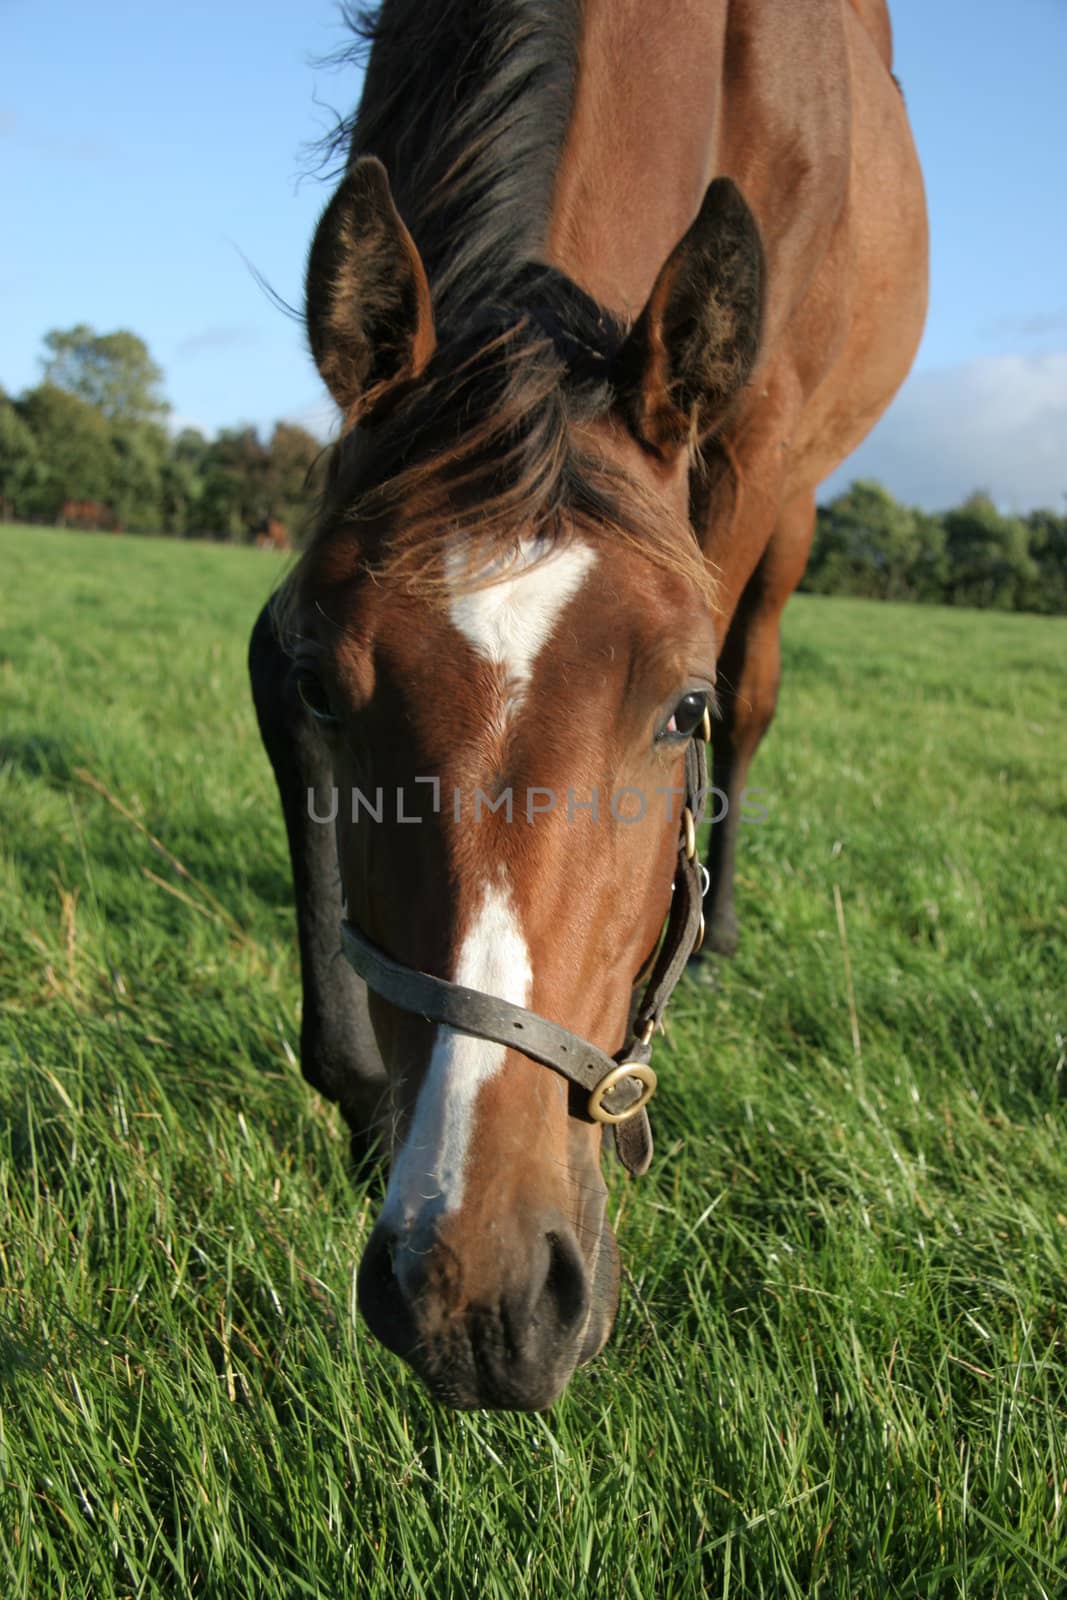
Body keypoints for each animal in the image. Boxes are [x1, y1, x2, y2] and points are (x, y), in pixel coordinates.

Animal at [247, 0, 927, 1408]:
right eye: (331, 687)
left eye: (672, 710)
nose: (474, 1299)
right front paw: (363, 1104)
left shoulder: (746, 456)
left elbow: (731, 698)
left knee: (763, 686)